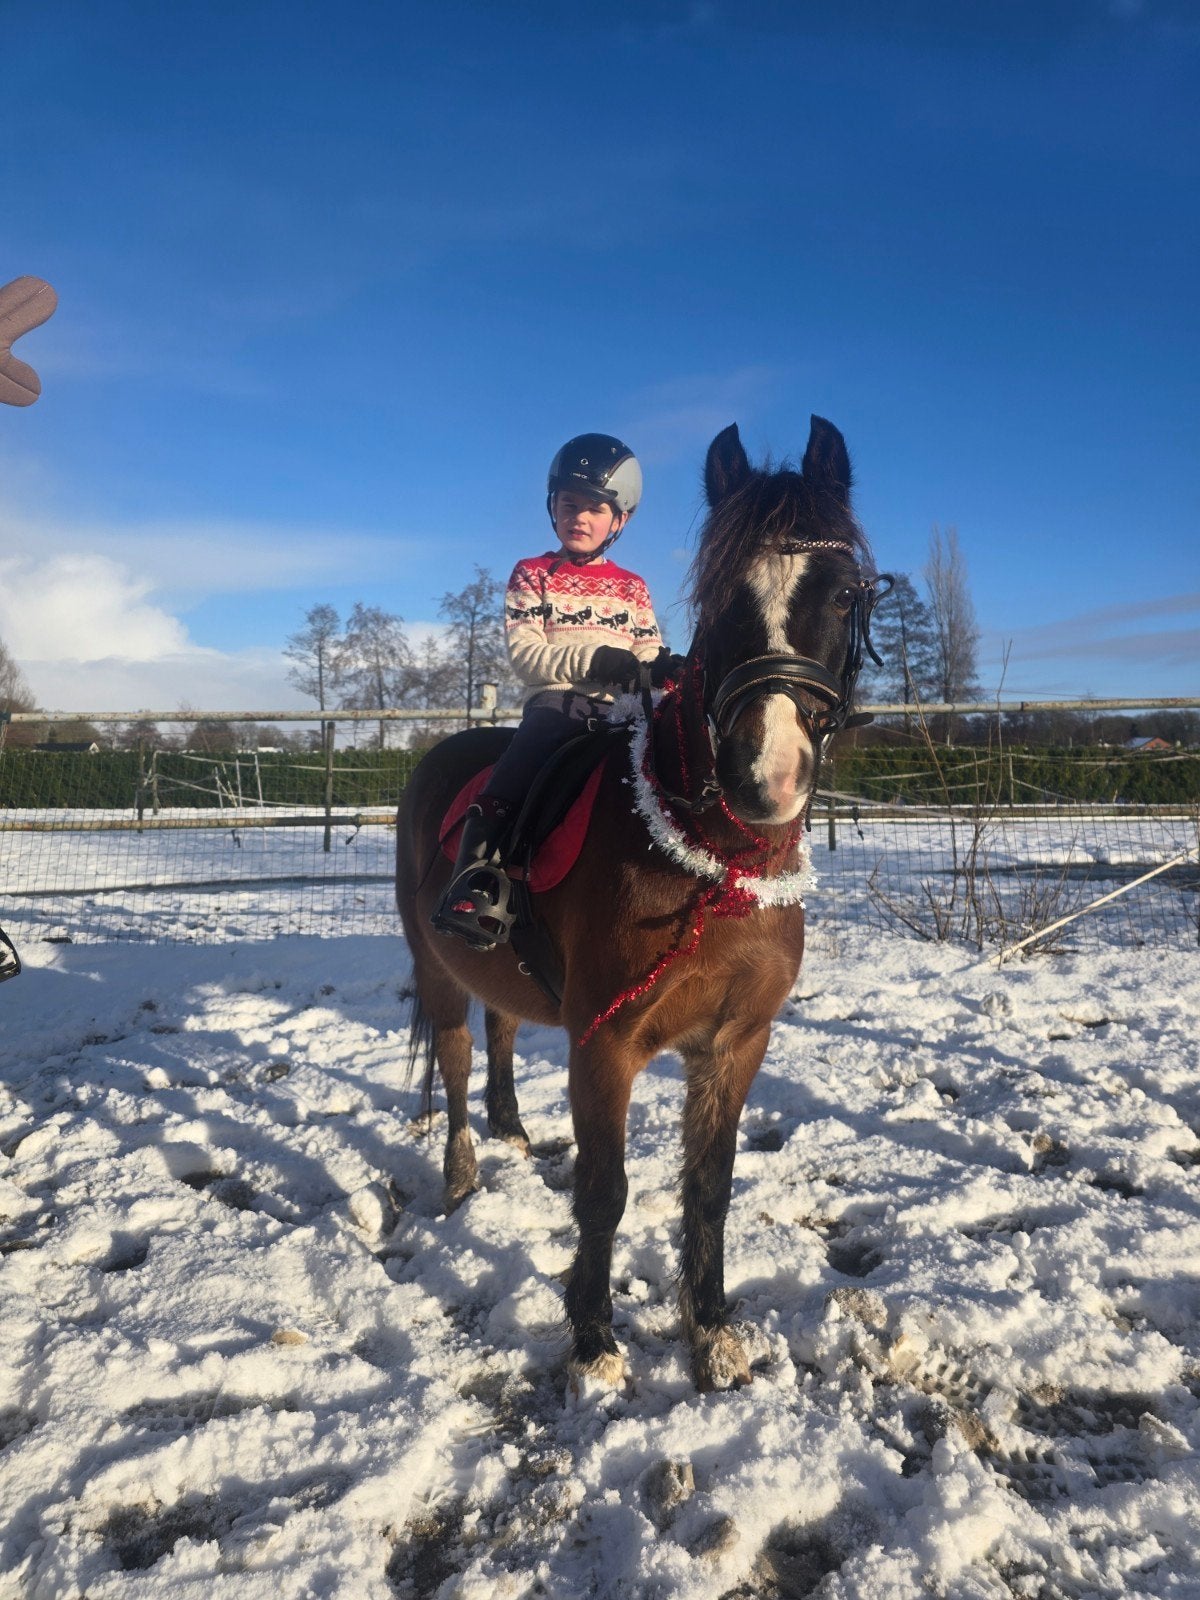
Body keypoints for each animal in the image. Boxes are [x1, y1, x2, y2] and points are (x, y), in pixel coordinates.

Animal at [395, 416, 880, 1392]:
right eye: (719, 592)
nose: (764, 777)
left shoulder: (735, 1043)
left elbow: (709, 1185)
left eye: (845, 591)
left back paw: (511, 1130)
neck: (715, 863)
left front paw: (713, 1329)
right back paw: (463, 1178)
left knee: (503, 1029)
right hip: (435, 964)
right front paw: (594, 1340)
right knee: (458, 1062)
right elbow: (605, 1190)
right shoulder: (605, 1042)